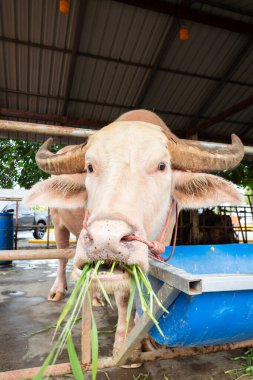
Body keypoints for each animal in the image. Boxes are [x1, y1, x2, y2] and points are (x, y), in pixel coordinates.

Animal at [24, 110, 244, 302]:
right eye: (90, 167)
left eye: (162, 166)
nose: (106, 240)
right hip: (58, 222)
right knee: (62, 256)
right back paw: (60, 291)